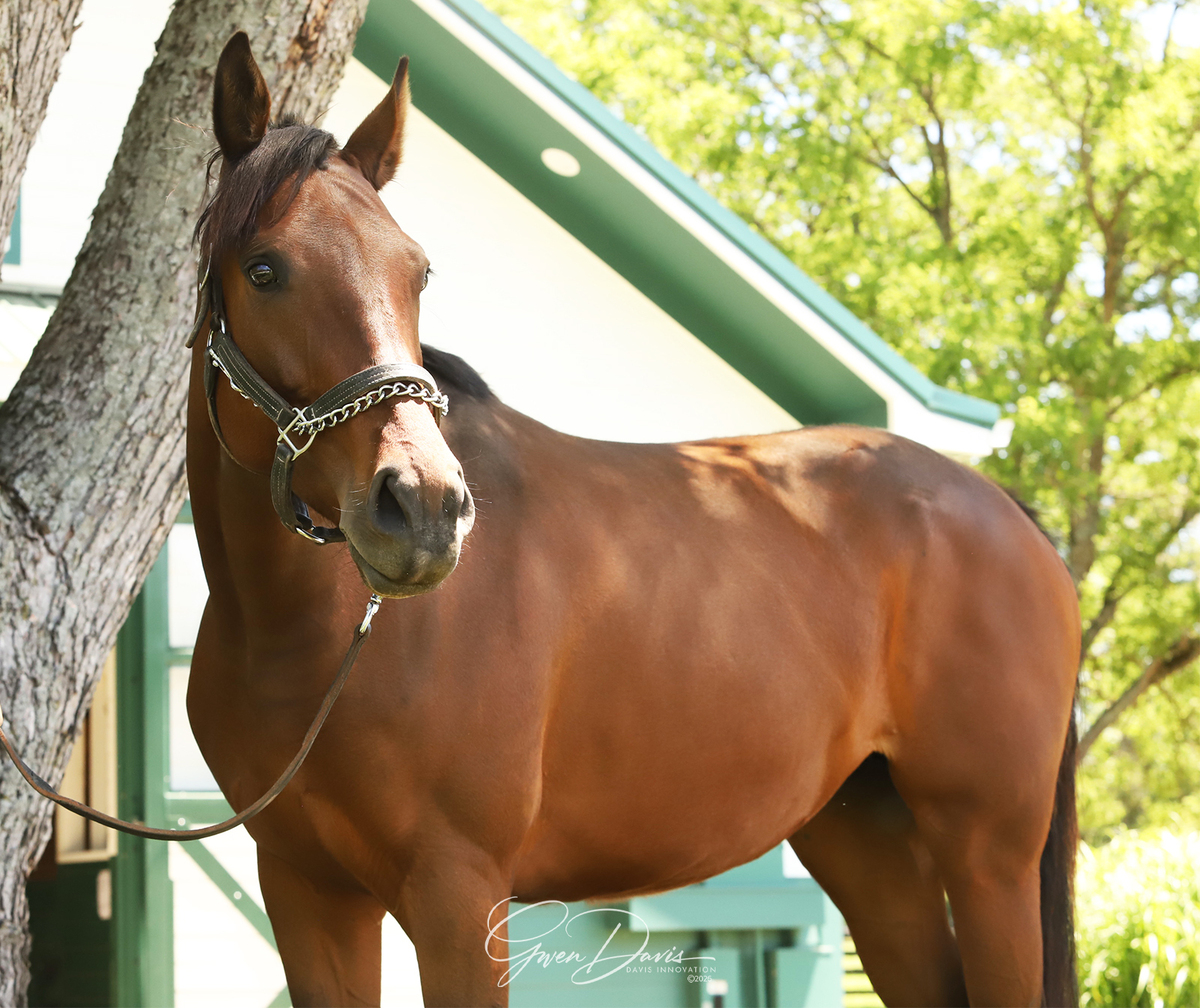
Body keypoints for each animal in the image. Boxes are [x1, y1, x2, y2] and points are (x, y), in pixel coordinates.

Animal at [186, 32, 1081, 1008]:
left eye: (417, 272)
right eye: (264, 269)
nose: (423, 507)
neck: (313, 634)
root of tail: (1006, 511)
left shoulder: (457, 889)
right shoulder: (306, 891)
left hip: (989, 858)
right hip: (868, 846)